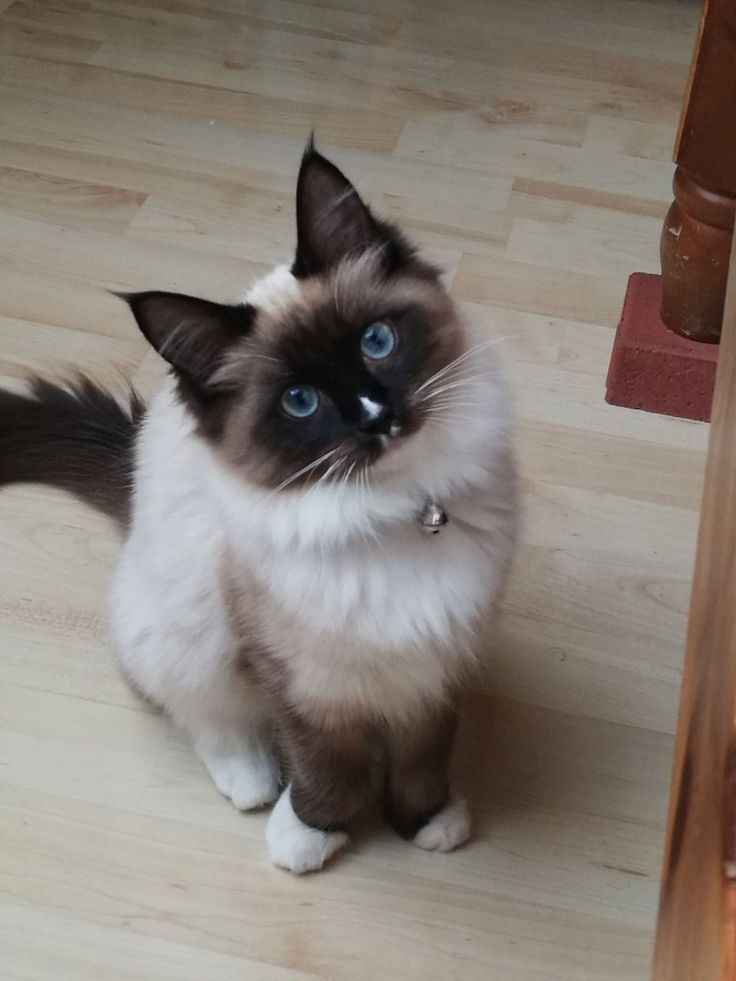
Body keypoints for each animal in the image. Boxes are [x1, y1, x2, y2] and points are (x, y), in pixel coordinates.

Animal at [0, 145, 516, 872]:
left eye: (377, 342)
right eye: (300, 402)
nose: (377, 416)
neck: (395, 512)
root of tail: (131, 470)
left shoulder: (438, 663)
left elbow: (422, 752)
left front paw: (426, 819)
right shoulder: (296, 678)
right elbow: (326, 767)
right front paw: (309, 834)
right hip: (189, 634)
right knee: (204, 717)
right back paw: (253, 783)